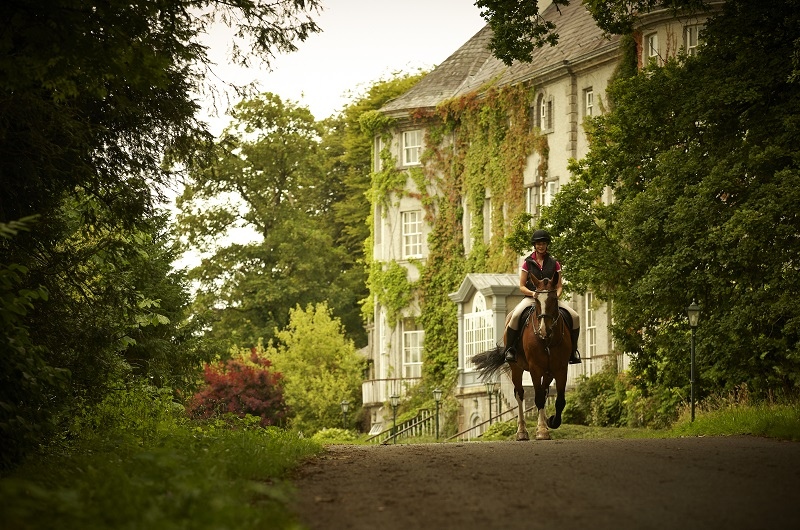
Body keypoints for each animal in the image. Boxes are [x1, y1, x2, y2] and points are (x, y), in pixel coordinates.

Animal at [472, 270, 572, 440]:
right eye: (536, 300)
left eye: (553, 299)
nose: (543, 330)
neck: (548, 340)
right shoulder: (535, 368)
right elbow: (538, 398)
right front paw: (542, 430)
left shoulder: (560, 368)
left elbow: (559, 400)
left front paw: (551, 422)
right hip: (516, 368)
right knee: (519, 394)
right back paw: (522, 432)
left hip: (548, 372)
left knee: (544, 392)